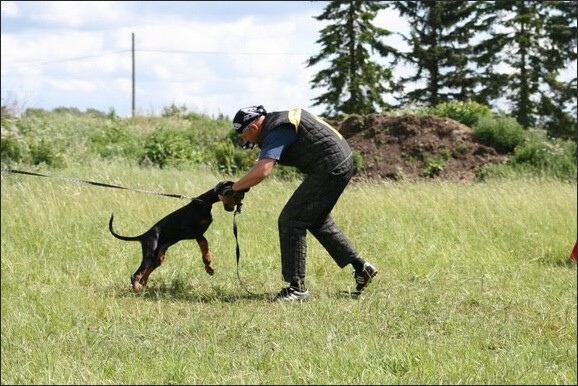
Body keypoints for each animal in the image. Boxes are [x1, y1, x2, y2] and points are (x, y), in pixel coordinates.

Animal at [108, 181, 245, 292]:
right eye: (231, 187)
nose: (245, 190)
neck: (205, 203)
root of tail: (144, 235)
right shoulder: (190, 230)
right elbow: (204, 243)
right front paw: (208, 262)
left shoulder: (198, 233)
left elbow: (204, 245)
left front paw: (208, 267)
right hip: (150, 254)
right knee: (136, 275)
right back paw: (137, 290)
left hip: (158, 258)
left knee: (143, 276)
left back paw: (145, 289)